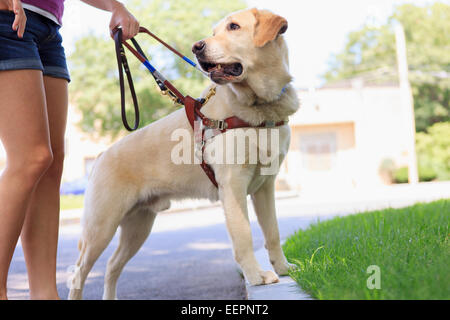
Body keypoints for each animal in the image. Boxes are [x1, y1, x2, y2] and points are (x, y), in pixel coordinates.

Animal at [68, 8, 298, 300]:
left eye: (233, 27)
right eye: (214, 32)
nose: (196, 47)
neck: (258, 107)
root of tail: (100, 156)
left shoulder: (266, 186)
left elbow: (273, 232)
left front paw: (283, 268)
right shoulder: (233, 185)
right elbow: (244, 235)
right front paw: (256, 277)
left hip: (138, 226)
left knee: (111, 266)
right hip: (101, 227)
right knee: (79, 272)